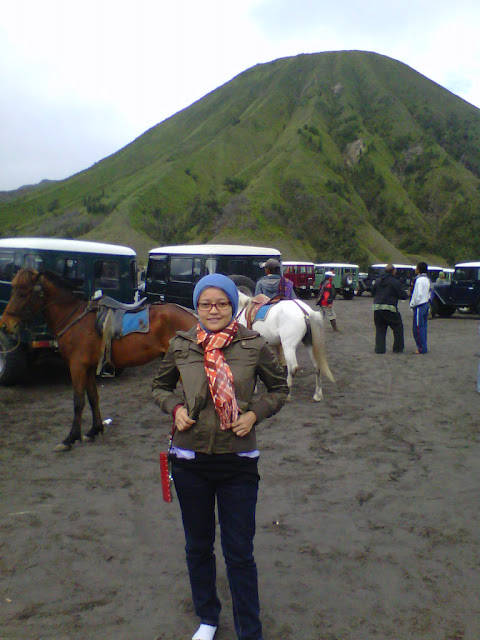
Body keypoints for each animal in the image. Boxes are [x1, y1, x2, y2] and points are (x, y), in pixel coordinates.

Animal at [0, 268, 197, 452]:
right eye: (13, 290)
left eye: (23, 293)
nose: (4, 324)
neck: (74, 318)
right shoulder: (88, 367)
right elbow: (93, 397)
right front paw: (95, 429)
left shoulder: (77, 366)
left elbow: (78, 402)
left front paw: (70, 438)